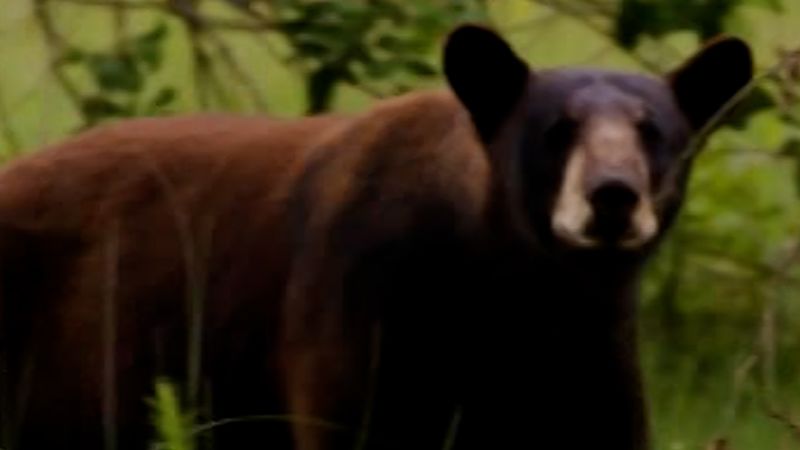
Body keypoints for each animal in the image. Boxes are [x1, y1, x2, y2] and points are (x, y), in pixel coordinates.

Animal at [0, 23, 752, 450]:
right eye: (555, 131)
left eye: (654, 132)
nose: (613, 196)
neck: (517, 287)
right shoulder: (362, 308)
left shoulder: (593, 354)